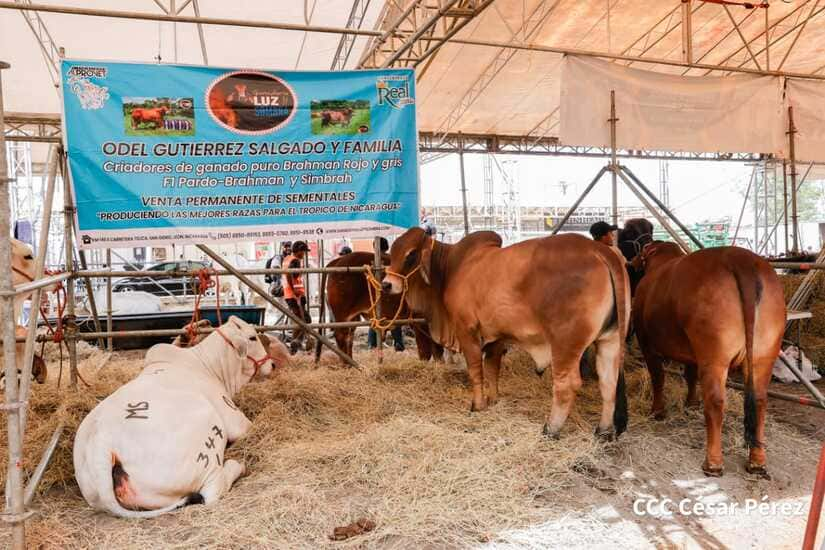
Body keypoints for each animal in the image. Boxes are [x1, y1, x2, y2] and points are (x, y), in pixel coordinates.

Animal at [72, 316, 272, 520]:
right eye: (253, 337)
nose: (272, 365)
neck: (208, 365)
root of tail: (101, 444)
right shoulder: (234, 419)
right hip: (209, 430)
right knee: (213, 489)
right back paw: (237, 466)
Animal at [316, 253, 444, 366]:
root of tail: (338, 261)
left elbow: (437, 350)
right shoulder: (420, 321)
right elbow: (426, 351)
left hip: (353, 317)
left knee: (349, 338)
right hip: (342, 314)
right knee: (341, 336)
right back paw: (346, 364)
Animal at [384, 231, 628, 442]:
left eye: (411, 254)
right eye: (392, 252)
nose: (387, 284)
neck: (451, 268)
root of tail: (598, 250)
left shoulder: (467, 331)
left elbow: (476, 370)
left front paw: (477, 405)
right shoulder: (495, 338)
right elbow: (493, 369)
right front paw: (493, 400)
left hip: (564, 343)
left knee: (567, 384)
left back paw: (551, 429)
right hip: (610, 339)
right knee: (608, 381)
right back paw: (604, 431)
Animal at [636, 244, 784, 480]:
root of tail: (740, 258)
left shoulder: (646, 343)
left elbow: (658, 377)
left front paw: (658, 411)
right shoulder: (691, 353)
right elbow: (690, 375)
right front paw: (690, 403)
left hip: (714, 356)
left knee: (715, 402)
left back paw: (713, 463)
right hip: (764, 354)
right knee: (760, 400)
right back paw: (757, 462)